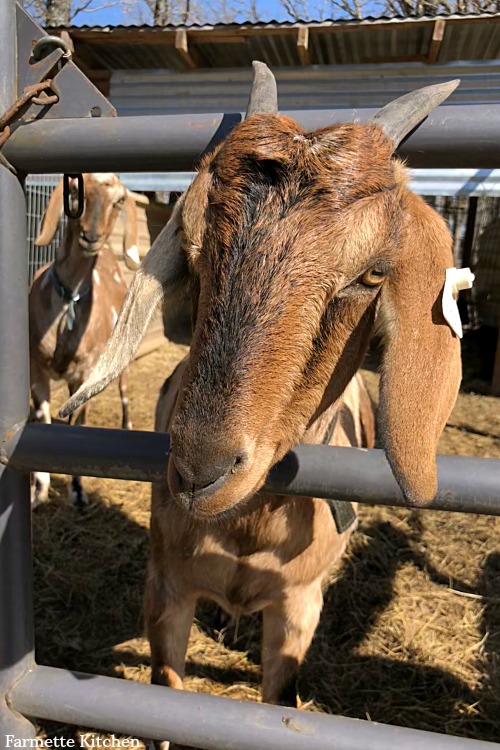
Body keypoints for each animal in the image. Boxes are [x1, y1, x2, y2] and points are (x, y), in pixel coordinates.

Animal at [29, 173, 139, 508]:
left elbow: (77, 425)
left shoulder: (86, 372)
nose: (91, 237)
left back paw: (128, 425)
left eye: (118, 201)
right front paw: (38, 490)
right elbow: (43, 421)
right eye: (76, 191)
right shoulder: (35, 368)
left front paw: (77, 491)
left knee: (124, 393)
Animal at [61, 66, 460, 716]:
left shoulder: (299, 607)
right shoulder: (166, 588)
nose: (201, 472)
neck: (248, 531)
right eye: (193, 252)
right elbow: (165, 684)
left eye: (372, 273)